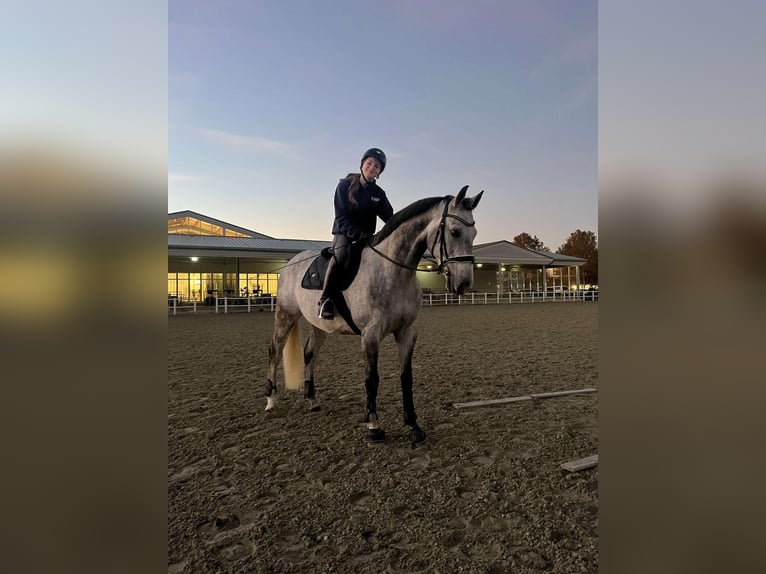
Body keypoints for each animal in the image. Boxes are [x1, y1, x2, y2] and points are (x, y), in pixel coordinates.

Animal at [264, 186, 480, 446]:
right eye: (455, 231)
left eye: (474, 233)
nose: (463, 283)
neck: (392, 271)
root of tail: (292, 262)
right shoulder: (370, 335)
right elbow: (372, 378)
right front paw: (374, 426)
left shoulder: (407, 333)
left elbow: (406, 377)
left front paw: (413, 425)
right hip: (285, 316)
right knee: (275, 352)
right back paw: (270, 401)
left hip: (320, 326)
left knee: (309, 354)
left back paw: (312, 400)